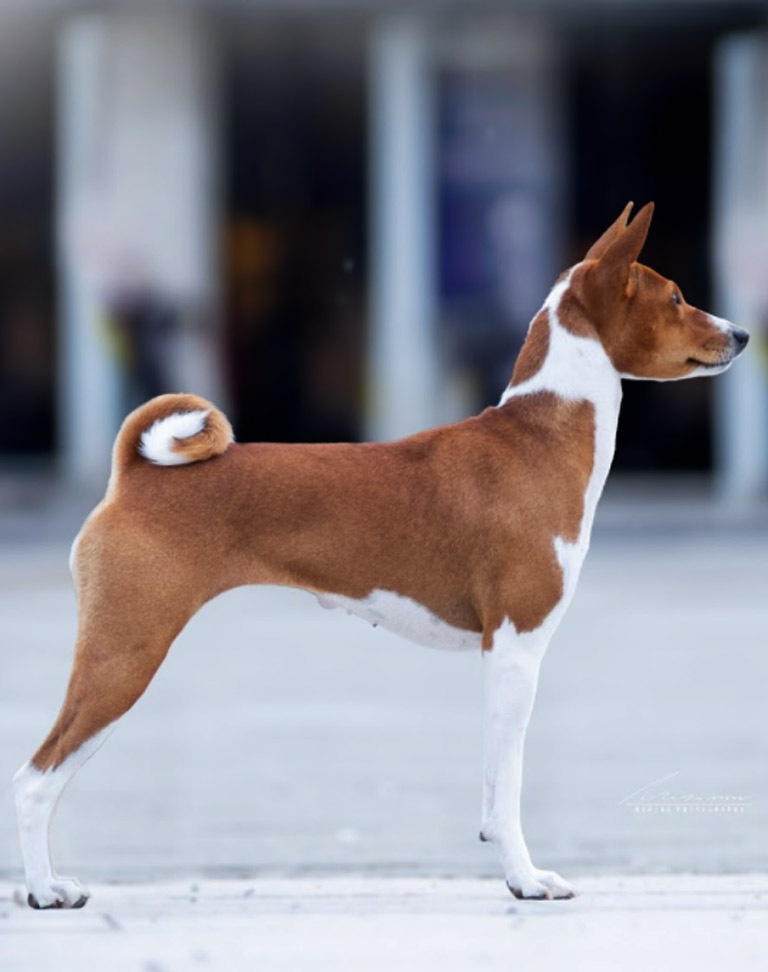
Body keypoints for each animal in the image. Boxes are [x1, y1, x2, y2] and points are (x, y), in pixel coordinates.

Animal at [13, 202, 749, 907]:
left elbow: (492, 793)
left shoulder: (500, 656)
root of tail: (133, 474)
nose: (742, 333)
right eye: (677, 296)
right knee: (35, 778)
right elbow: (509, 791)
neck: (540, 438)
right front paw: (528, 880)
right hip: (124, 654)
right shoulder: (517, 648)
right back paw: (47, 891)